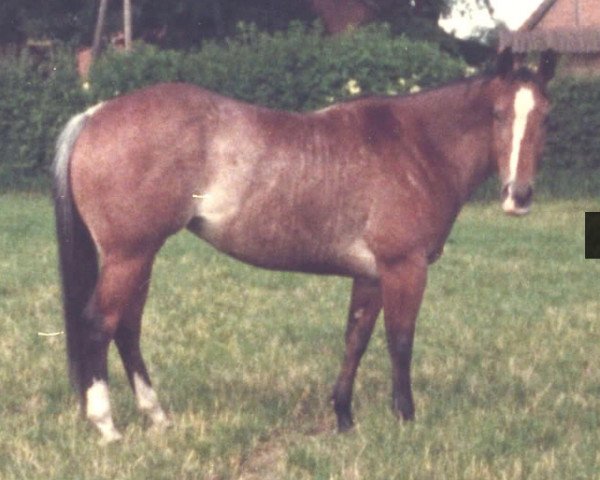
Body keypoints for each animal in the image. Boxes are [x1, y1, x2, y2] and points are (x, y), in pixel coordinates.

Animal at [52, 48, 556, 442]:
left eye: (545, 115)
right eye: (498, 114)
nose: (519, 196)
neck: (417, 146)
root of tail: (95, 115)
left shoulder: (371, 274)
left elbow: (356, 340)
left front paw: (344, 418)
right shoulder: (404, 268)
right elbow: (399, 342)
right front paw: (405, 419)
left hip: (140, 258)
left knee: (127, 328)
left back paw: (157, 417)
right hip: (130, 256)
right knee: (99, 324)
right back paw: (107, 426)